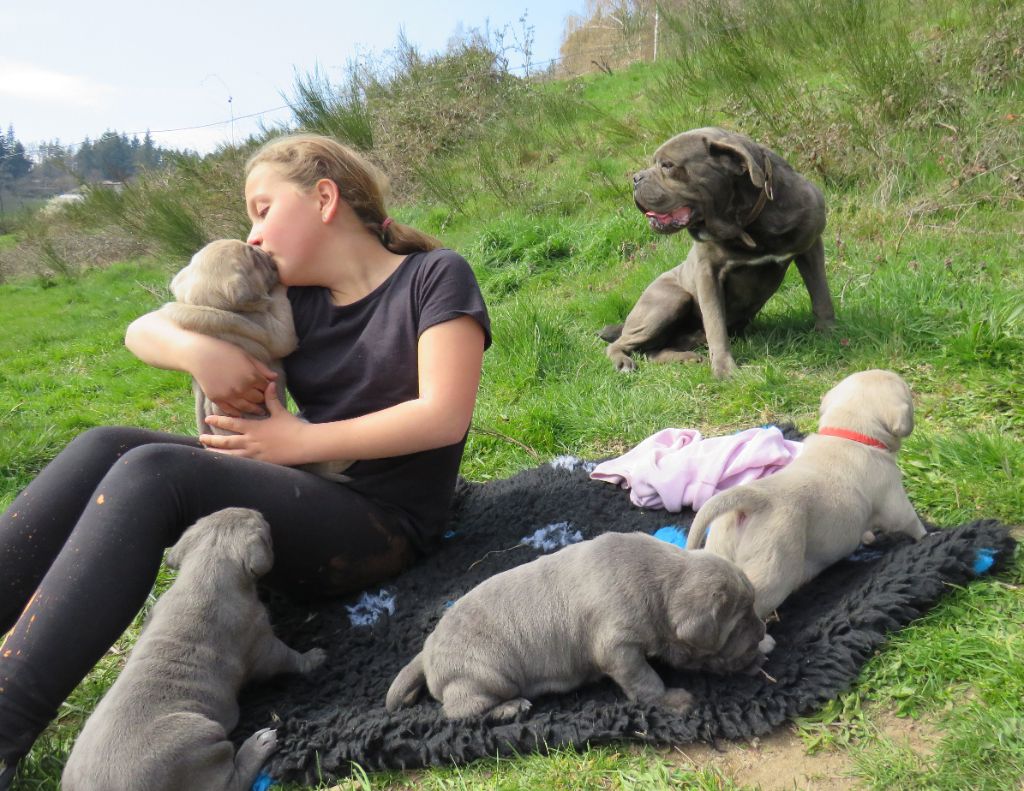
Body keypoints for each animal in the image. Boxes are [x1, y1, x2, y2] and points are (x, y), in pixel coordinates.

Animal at [61, 506, 325, 790]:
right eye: (263, 527)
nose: (256, 509)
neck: (204, 574)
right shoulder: (262, 645)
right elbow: (289, 658)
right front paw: (314, 658)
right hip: (202, 741)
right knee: (234, 781)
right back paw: (258, 745)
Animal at [159, 237, 352, 479]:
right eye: (254, 258)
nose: (263, 250)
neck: (208, 304)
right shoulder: (278, 332)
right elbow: (278, 302)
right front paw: (281, 286)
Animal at [385, 532, 770, 721]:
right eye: (738, 622)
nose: (762, 632)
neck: (660, 583)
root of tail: (426, 651)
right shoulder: (618, 648)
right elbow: (644, 679)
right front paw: (672, 700)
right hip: (483, 677)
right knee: (459, 710)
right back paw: (510, 708)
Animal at [602, 126, 835, 379]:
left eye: (667, 165)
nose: (636, 178)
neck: (745, 222)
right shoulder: (707, 271)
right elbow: (715, 323)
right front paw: (724, 368)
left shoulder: (811, 245)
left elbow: (821, 295)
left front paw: (828, 332)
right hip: (670, 299)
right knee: (619, 343)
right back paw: (623, 362)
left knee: (651, 351)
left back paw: (686, 358)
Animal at [688, 370, 929, 618]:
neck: (847, 434)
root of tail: (753, 498)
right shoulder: (893, 497)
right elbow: (910, 521)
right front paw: (928, 537)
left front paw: (869, 537)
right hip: (773, 567)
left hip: (720, 546)